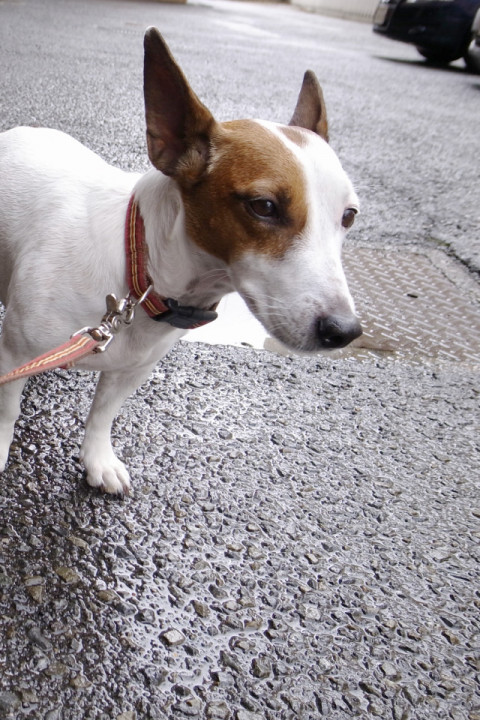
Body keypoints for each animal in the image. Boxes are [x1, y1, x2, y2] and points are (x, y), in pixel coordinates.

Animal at [0, 28, 361, 495]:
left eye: (349, 216)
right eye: (264, 206)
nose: (344, 331)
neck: (137, 270)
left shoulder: (133, 369)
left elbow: (103, 414)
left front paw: (97, 458)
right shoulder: (14, 355)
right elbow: (7, 410)